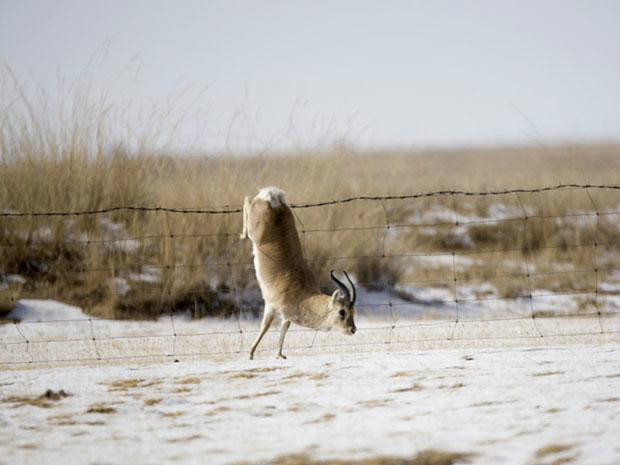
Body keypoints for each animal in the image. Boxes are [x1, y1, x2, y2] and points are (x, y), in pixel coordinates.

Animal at [242, 186, 358, 358]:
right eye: (342, 312)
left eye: (353, 311)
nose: (352, 329)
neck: (304, 297)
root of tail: (273, 196)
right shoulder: (271, 306)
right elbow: (265, 328)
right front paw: (250, 354)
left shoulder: (287, 317)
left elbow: (283, 331)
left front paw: (280, 355)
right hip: (252, 230)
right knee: (246, 200)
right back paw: (242, 234)